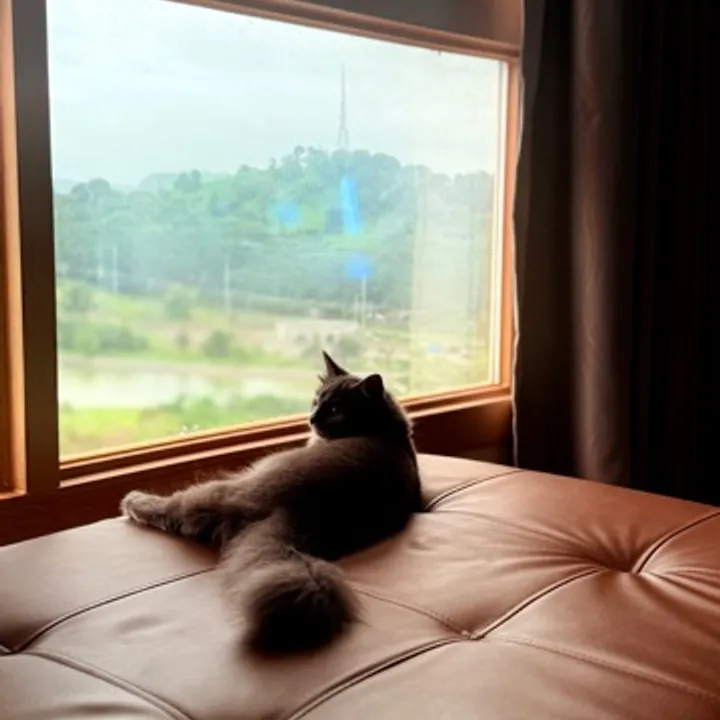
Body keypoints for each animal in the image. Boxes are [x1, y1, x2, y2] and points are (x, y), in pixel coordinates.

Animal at [120, 351, 422, 654]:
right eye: (316, 401)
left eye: (336, 409)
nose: (312, 418)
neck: (388, 433)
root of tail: (307, 513)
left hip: (237, 485)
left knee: (177, 511)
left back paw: (133, 502)